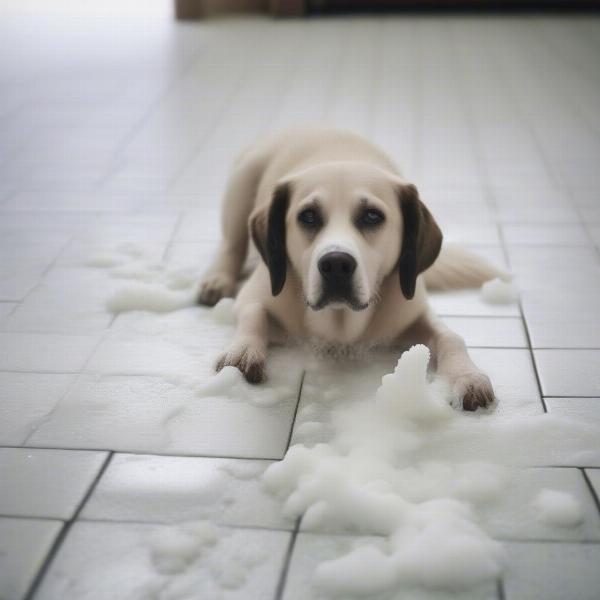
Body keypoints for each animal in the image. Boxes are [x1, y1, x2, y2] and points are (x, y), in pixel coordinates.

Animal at [198, 129, 506, 410]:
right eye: (307, 216)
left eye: (372, 216)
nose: (336, 264)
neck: (340, 325)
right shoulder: (258, 290)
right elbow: (253, 314)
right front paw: (243, 350)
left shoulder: (413, 310)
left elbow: (451, 337)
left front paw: (466, 376)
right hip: (241, 187)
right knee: (231, 244)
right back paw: (217, 280)